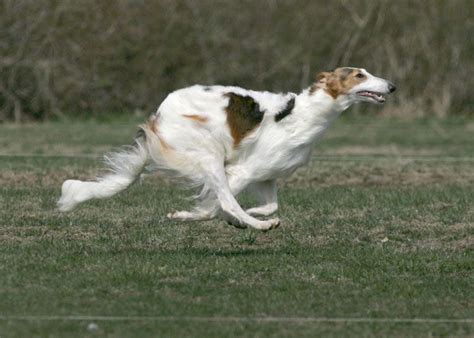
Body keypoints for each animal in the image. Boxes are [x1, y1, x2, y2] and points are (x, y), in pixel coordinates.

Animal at [58, 66, 396, 230]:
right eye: (359, 74)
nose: (392, 86)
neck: (304, 115)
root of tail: (159, 116)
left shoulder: (266, 176)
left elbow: (267, 204)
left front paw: (252, 211)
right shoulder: (242, 171)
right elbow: (219, 206)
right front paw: (235, 217)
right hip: (208, 156)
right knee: (226, 202)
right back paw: (258, 226)